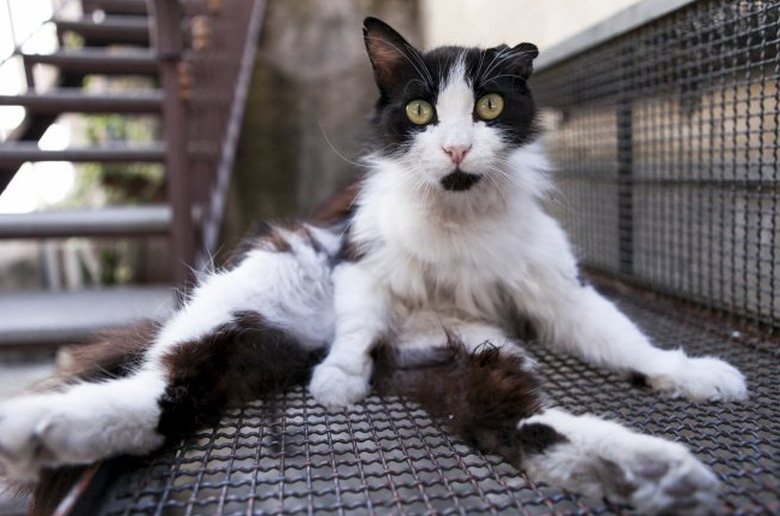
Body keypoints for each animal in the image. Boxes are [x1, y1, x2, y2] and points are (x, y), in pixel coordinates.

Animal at [0, 17, 748, 516]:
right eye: (419, 110)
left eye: (489, 107)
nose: (455, 148)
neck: (456, 214)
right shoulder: (360, 261)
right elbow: (358, 324)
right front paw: (338, 382)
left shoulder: (558, 288)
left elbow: (626, 340)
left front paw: (691, 375)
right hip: (259, 282)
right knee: (158, 389)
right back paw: (37, 432)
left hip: (473, 349)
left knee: (523, 424)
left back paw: (654, 474)